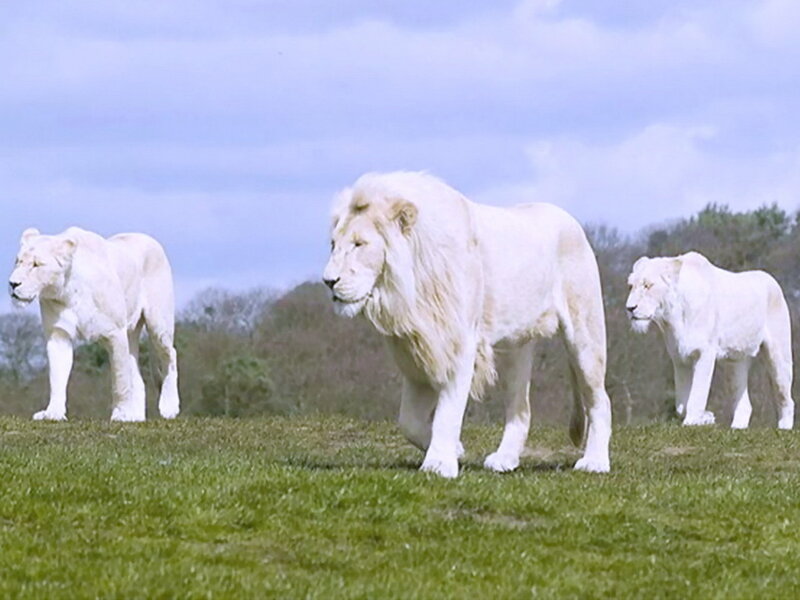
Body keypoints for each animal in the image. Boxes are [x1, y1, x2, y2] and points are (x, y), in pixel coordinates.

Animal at [8, 227, 180, 422]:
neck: (68, 291)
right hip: (131, 333)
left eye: (36, 264)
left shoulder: (115, 333)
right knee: (137, 376)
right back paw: (135, 416)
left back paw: (168, 407)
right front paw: (53, 413)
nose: (12, 284)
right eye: (17, 262)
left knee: (170, 355)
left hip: (158, 323)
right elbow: (57, 378)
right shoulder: (59, 335)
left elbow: (120, 379)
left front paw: (120, 414)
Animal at [323, 171, 612, 478]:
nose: (328, 281)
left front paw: (439, 463)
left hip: (585, 333)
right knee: (520, 409)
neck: (406, 291)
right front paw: (456, 450)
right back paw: (505, 459)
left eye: (359, 244)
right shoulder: (419, 352)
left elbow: (447, 411)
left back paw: (595, 462)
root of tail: (573, 223)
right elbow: (408, 421)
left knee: (599, 400)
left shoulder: (457, 343)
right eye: (333, 244)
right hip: (514, 346)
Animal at [626, 251, 794, 429]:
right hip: (734, 362)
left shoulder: (705, 353)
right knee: (745, 403)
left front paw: (693, 421)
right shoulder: (679, 358)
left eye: (647, 285)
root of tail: (772, 280)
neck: (672, 316)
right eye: (631, 286)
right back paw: (736, 428)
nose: (630, 308)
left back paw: (784, 428)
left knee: (786, 397)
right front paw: (706, 418)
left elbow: (697, 393)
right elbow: (681, 405)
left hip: (778, 356)